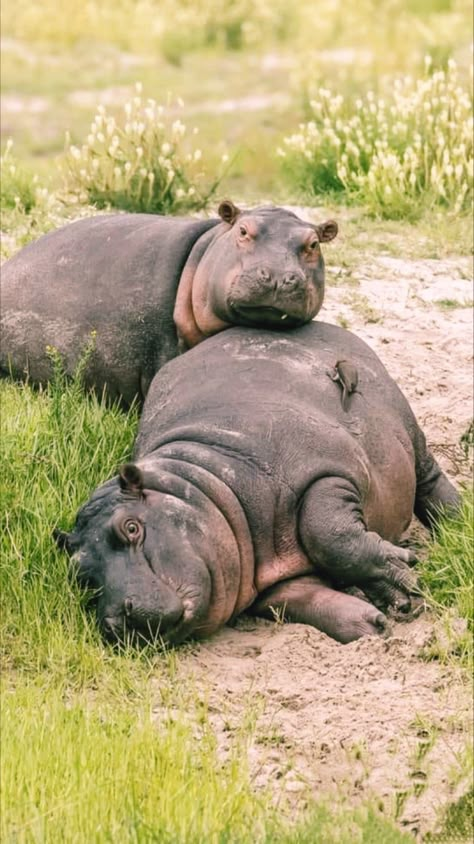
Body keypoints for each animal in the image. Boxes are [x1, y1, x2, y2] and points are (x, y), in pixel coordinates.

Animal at [55, 324, 460, 648]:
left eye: (131, 527)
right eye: (81, 574)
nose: (115, 620)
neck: (209, 485)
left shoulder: (324, 473)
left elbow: (330, 536)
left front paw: (409, 578)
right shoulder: (275, 584)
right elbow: (307, 600)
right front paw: (378, 620)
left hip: (409, 432)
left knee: (431, 484)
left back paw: (457, 523)